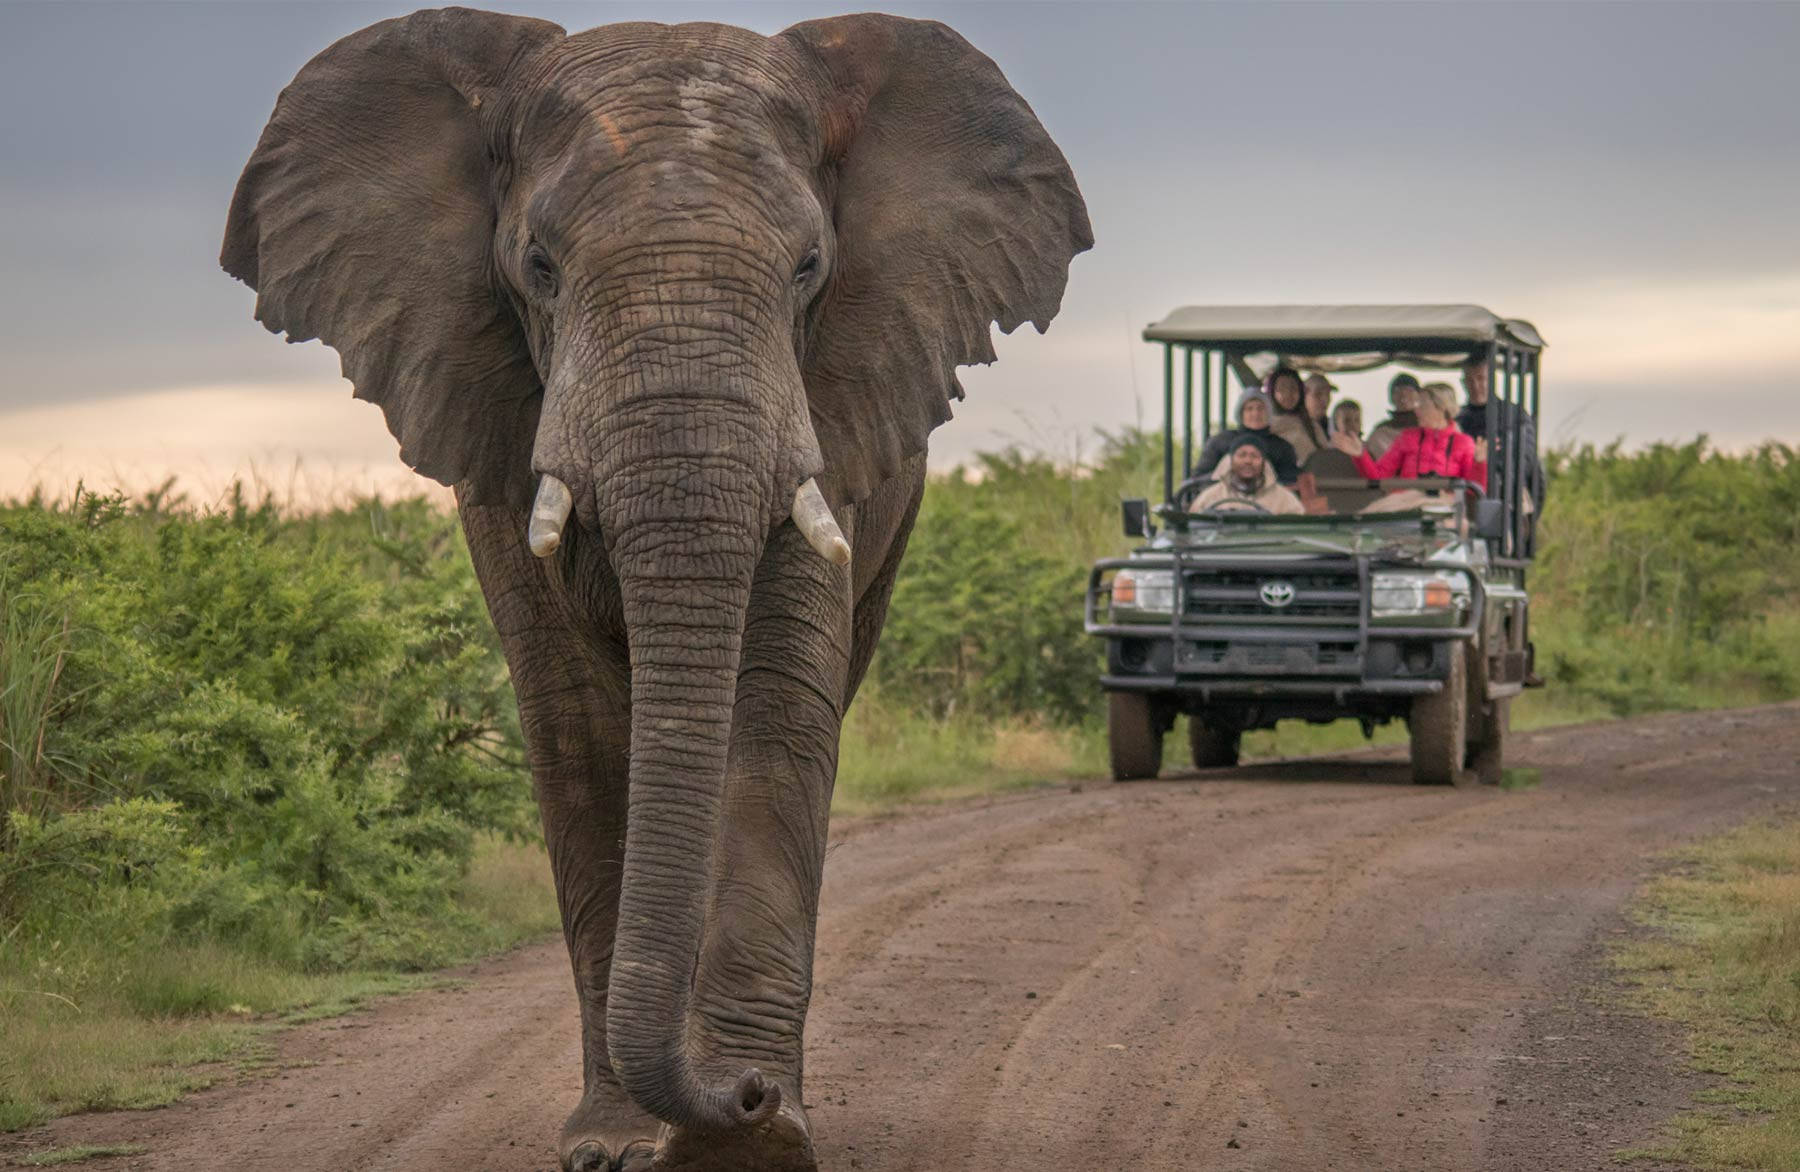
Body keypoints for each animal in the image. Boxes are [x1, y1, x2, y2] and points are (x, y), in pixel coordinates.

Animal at [222, 8, 1090, 1170]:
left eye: (811, 266)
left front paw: (756, 1143)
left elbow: (774, 714)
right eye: (539, 266)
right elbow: (579, 731)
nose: (749, 1096)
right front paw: (620, 1144)